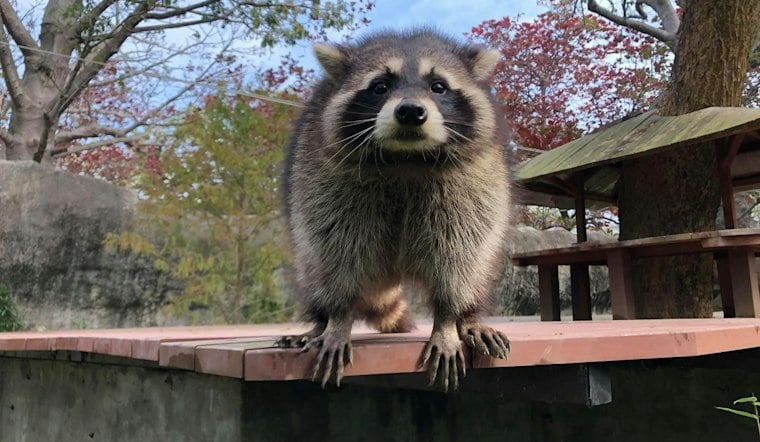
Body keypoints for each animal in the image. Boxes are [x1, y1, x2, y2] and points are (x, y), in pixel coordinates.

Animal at [278, 29, 511, 391]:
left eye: (438, 86)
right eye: (380, 86)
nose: (411, 111)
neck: (406, 157)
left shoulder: (471, 184)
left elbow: (459, 256)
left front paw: (448, 321)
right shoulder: (323, 180)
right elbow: (336, 252)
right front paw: (338, 319)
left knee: (477, 269)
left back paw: (469, 317)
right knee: (314, 268)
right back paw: (319, 320)